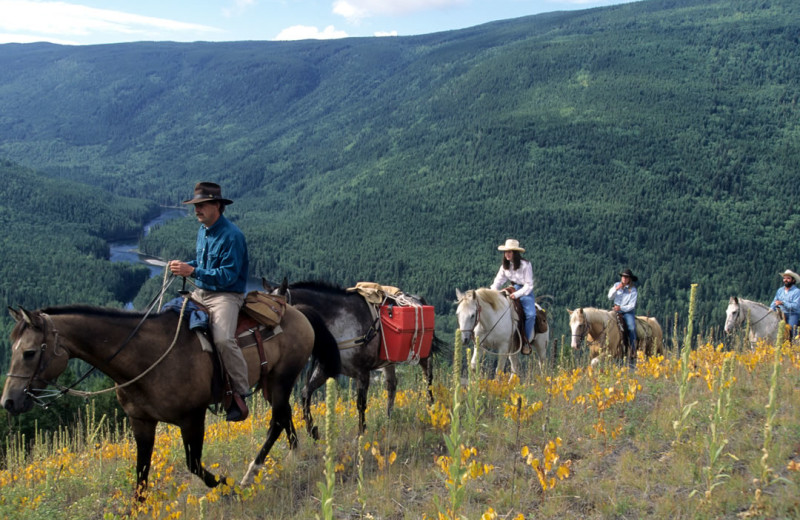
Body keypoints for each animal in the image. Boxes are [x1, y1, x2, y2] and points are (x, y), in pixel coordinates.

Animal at [0, 302, 340, 498]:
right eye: (12, 348)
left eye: (29, 352)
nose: (9, 402)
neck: (145, 358)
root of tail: (297, 311)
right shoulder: (142, 422)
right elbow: (141, 474)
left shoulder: (192, 418)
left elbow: (194, 464)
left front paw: (224, 484)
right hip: (272, 383)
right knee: (284, 416)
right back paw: (292, 455)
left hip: (282, 379)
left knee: (277, 420)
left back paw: (251, 474)